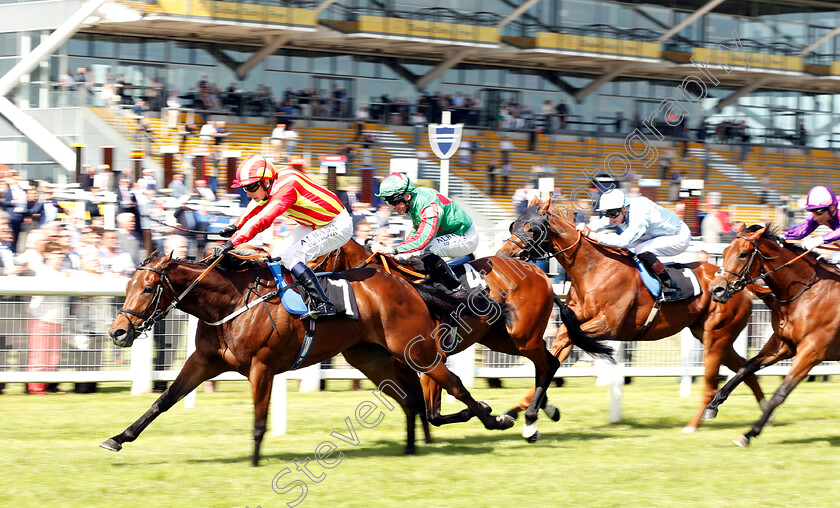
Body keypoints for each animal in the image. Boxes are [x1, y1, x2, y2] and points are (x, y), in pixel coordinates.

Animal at [98, 250, 512, 464]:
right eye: (127, 285)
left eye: (148, 288)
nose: (117, 332)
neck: (231, 302)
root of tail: (406, 283)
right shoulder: (204, 361)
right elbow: (164, 400)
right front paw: (119, 437)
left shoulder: (262, 367)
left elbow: (259, 420)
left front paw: (254, 459)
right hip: (370, 358)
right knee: (411, 398)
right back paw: (411, 446)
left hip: (417, 348)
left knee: (452, 385)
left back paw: (496, 419)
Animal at [306, 238, 612, 440]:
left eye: (316, 257)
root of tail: (541, 272)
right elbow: (431, 413)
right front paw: (483, 410)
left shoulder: (431, 357)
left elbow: (437, 405)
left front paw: (487, 413)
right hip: (501, 339)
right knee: (547, 363)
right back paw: (542, 408)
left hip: (522, 336)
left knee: (548, 365)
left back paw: (530, 421)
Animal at [496, 196, 772, 430]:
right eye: (514, 225)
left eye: (531, 229)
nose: (504, 255)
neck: (593, 268)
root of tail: (741, 284)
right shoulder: (575, 325)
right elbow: (554, 354)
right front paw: (516, 412)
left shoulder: (609, 325)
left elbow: (559, 347)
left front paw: (538, 411)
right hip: (710, 335)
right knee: (744, 369)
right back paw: (765, 413)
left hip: (716, 337)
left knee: (712, 382)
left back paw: (694, 424)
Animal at [704, 224, 840, 446]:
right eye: (724, 252)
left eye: (743, 254)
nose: (716, 290)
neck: (806, 293)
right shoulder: (782, 346)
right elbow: (744, 368)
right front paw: (712, 406)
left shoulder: (812, 351)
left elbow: (780, 394)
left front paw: (749, 433)